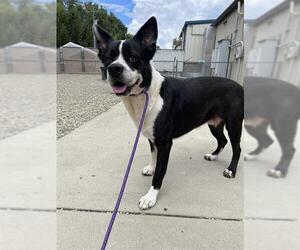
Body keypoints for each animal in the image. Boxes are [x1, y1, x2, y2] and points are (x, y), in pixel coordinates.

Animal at [93, 16, 244, 210]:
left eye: (133, 58)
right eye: (107, 59)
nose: (114, 68)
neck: (147, 93)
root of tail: (239, 85)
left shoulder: (165, 142)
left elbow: (160, 171)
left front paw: (151, 196)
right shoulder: (152, 136)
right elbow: (154, 155)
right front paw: (151, 168)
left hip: (234, 123)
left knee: (237, 147)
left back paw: (231, 170)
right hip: (214, 123)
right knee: (222, 140)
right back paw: (213, 155)